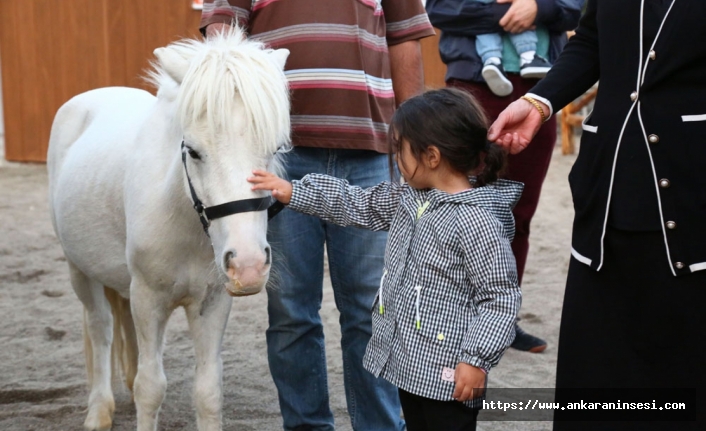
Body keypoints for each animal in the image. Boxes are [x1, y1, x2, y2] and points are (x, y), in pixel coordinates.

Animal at [47, 28, 288, 430]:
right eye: (193, 151)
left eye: (274, 149)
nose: (249, 265)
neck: (184, 223)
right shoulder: (149, 299)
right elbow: (151, 388)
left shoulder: (212, 302)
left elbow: (207, 391)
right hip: (79, 269)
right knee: (101, 327)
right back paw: (99, 410)